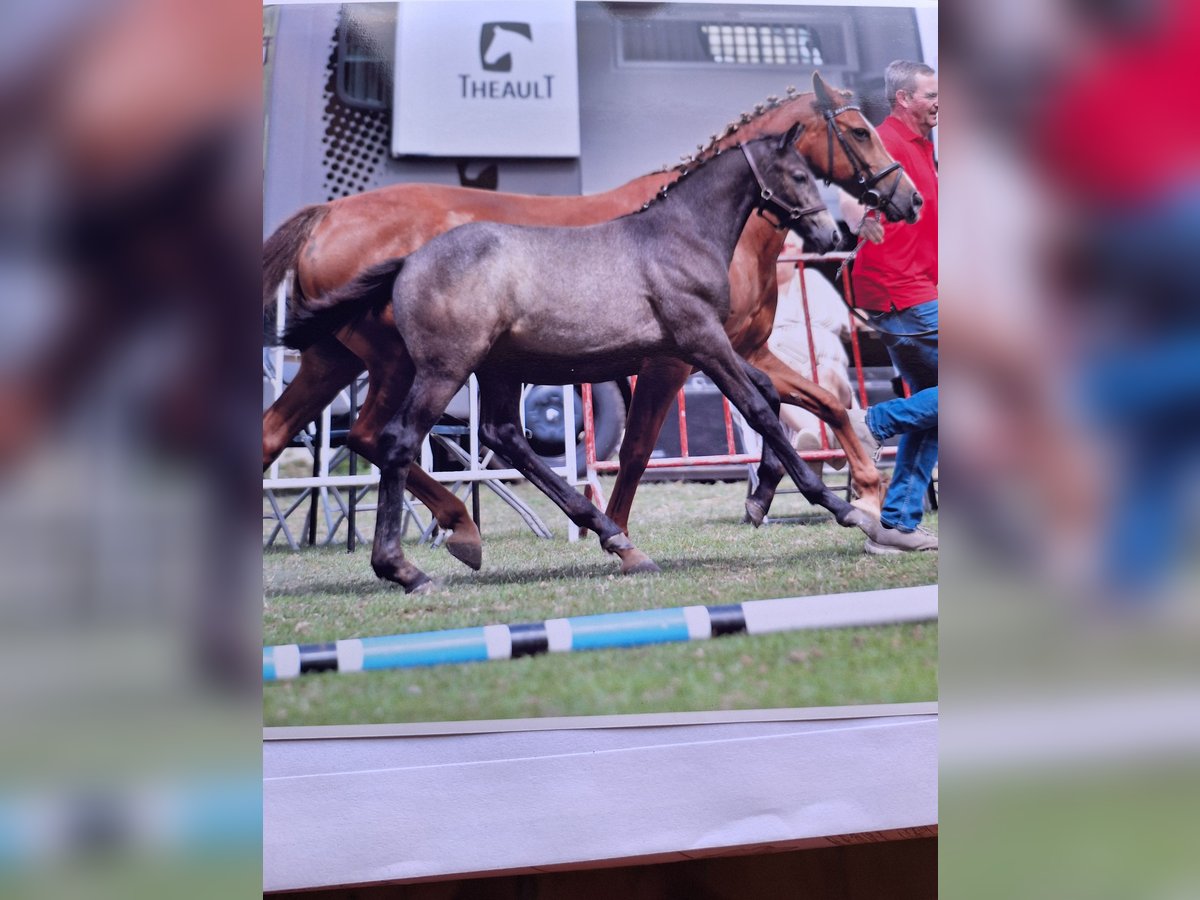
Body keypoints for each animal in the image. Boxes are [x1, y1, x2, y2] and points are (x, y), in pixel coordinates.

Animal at [262, 75, 916, 571]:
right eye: (860, 131)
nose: (905, 200)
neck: (686, 231)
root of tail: (326, 215)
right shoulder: (683, 353)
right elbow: (655, 443)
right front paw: (851, 505)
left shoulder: (739, 349)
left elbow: (812, 403)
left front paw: (841, 494)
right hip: (414, 363)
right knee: (384, 436)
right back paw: (435, 545)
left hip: (361, 359)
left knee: (320, 434)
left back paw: (468, 530)